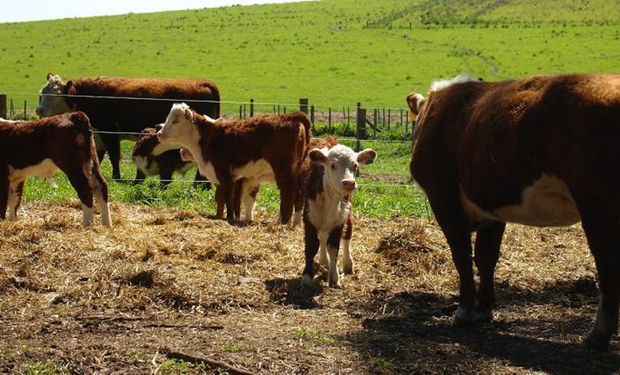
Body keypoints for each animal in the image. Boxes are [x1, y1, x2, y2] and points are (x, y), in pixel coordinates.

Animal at [36, 73, 219, 182]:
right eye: (41, 94)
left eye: (54, 95)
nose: (39, 110)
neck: (85, 96)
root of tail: (206, 83)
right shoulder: (98, 135)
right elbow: (98, 157)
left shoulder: (109, 131)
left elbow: (114, 155)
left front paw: (116, 177)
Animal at [157, 103, 312, 223]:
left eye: (175, 121)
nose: (160, 134)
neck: (207, 136)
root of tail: (290, 116)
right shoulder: (225, 177)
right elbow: (220, 199)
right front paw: (219, 216)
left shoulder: (225, 174)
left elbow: (229, 198)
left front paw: (230, 218)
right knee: (297, 194)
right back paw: (293, 222)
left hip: (283, 171)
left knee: (287, 192)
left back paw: (282, 222)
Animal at [300, 144, 376, 288]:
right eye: (332, 165)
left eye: (355, 165)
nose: (349, 183)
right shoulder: (309, 219)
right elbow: (311, 246)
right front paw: (307, 276)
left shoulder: (339, 221)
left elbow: (334, 248)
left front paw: (334, 278)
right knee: (322, 238)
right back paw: (323, 260)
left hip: (348, 213)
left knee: (346, 236)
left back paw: (347, 264)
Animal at [410, 73, 620, 350]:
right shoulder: (491, 208)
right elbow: (486, 257)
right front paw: (484, 308)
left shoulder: (443, 198)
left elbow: (462, 256)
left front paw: (465, 311)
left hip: (597, 205)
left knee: (607, 266)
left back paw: (597, 334)